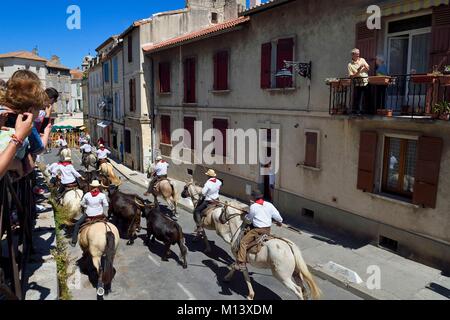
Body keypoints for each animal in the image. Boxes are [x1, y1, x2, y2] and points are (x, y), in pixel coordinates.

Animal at [181, 182, 322, 300]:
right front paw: (228, 277)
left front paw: (250, 294)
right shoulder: (240, 257)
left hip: (282, 276)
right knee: (303, 289)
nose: (221, 219)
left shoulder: (240, 256)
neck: (238, 229)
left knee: (298, 290)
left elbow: (244, 274)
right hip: (296, 273)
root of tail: (289, 245)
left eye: (223, 210)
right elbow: (236, 268)